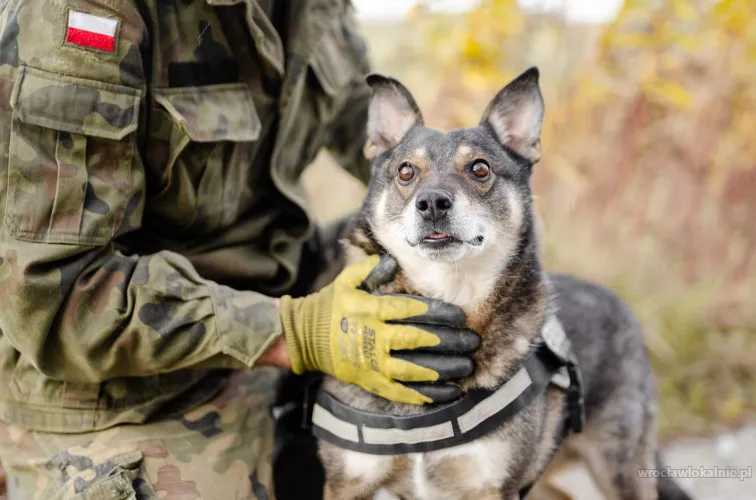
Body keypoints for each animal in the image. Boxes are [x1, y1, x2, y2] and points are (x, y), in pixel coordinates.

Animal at [314, 67, 692, 500]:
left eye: (480, 169)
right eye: (406, 171)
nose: (432, 204)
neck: (448, 297)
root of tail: (620, 305)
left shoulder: (491, 485)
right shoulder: (346, 483)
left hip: (619, 467)